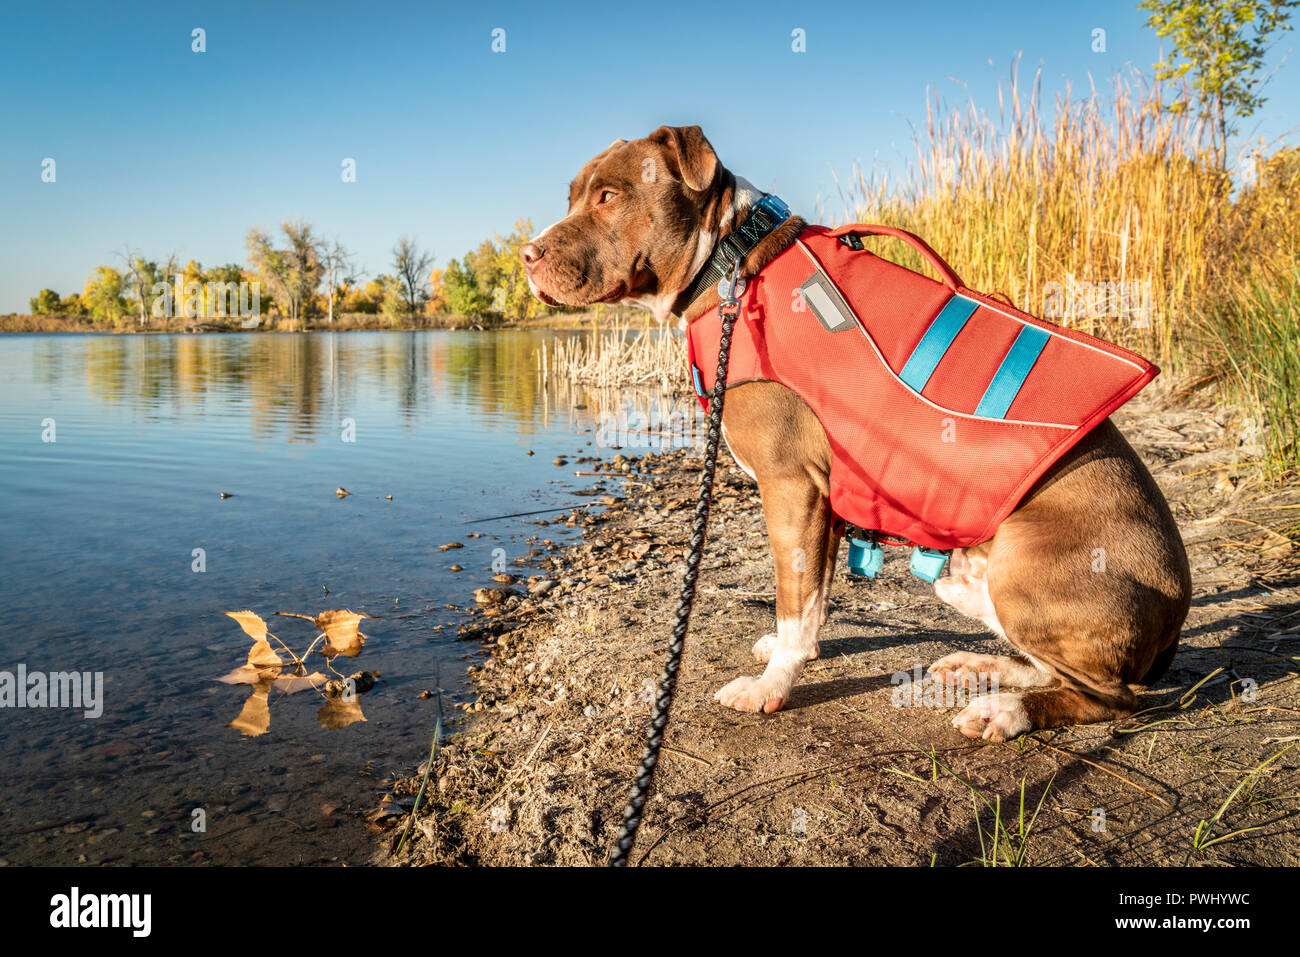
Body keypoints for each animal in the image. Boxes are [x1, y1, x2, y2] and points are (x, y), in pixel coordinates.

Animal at [517, 125, 1190, 738]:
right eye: (572, 197)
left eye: (608, 196)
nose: (527, 255)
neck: (729, 260)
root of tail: (1177, 608)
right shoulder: (822, 495)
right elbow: (812, 592)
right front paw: (795, 654)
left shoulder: (790, 484)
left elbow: (792, 596)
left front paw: (771, 688)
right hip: (981, 578)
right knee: (1052, 665)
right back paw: (982, 665)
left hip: (1027, 571)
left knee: (1112, 697)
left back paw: (1007, 710)